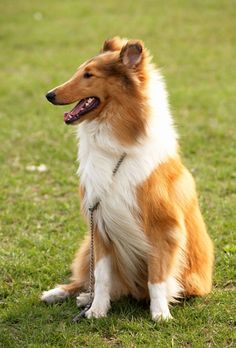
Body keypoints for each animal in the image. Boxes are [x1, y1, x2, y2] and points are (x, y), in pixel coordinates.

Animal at [42, 36, 214, 320]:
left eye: (89, 75)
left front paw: (160, 314)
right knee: (88, 279)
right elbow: (101, 276)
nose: (49, 94)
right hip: (87, 247)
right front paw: (96, 310)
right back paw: (67, 294)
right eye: (80, 71)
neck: (118, 147)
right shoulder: (99, 225)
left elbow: (157, 278)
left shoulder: (163, 227)